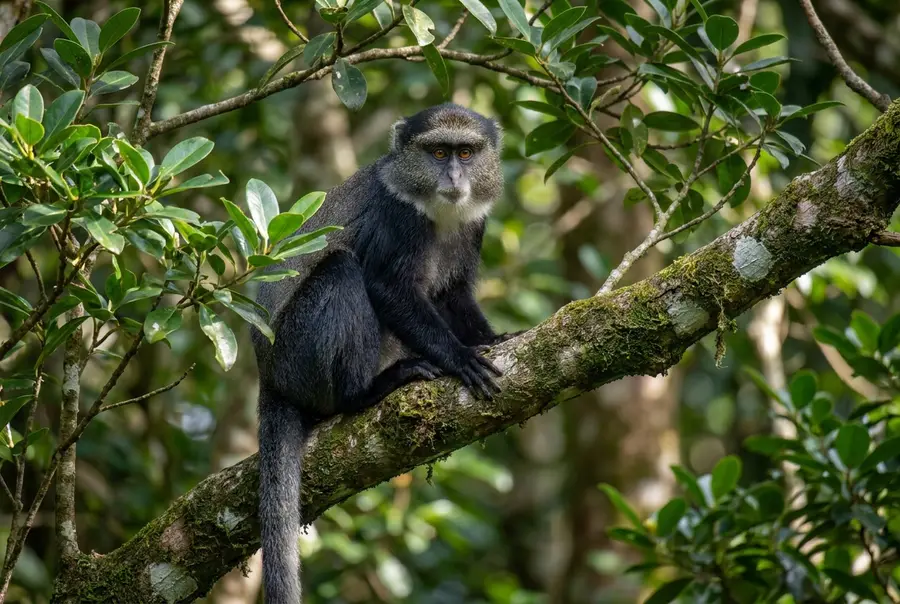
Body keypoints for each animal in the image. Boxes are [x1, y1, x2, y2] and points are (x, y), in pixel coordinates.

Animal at [251, 103, 517, 603]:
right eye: (437, 153)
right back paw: (370, 390)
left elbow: (453, 294)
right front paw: (460, 357)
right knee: (342, 271)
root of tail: (268, 377)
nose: (454, 177)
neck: (438, 211)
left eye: (466, 153)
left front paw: (493, 340)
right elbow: (386, 286)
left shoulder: (474, 226)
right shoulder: (396, 217)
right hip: (297, 356)